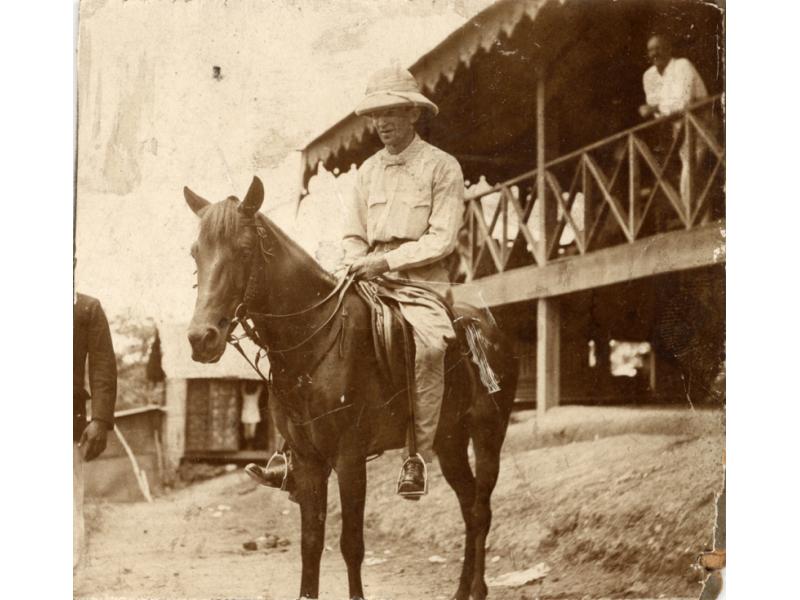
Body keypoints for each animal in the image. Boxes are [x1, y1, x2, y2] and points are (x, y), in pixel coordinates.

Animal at [183, 176, 520, 596]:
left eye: (244, 251)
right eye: (195, 253)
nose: (201, 339)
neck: (313, 339)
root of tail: (489, 329)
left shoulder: (349, 457)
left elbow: (351, 544)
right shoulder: (309, 460)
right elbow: (311, 543)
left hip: (488, 433)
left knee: (480, 509)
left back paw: (475, 589)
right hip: (449, 440)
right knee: (469, 506)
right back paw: (460, 591)